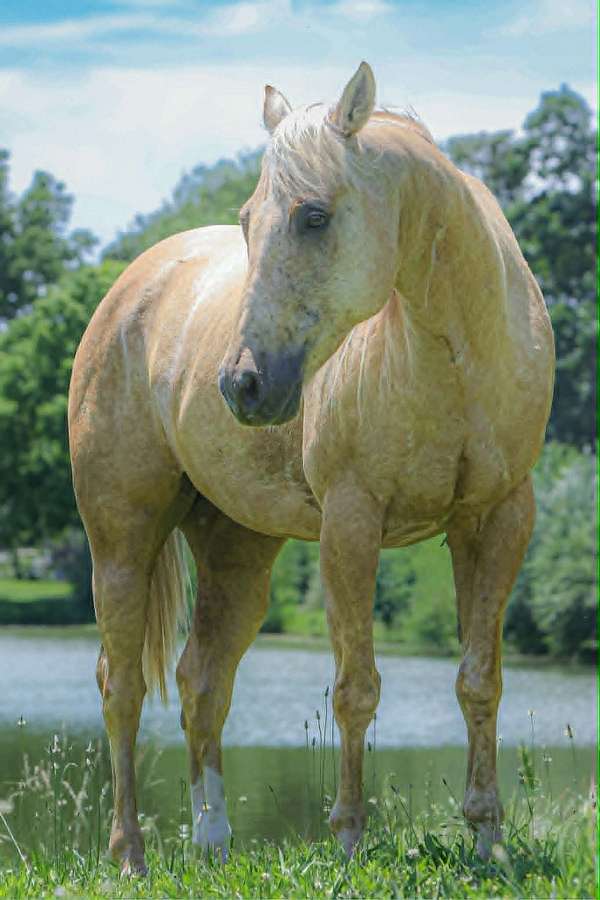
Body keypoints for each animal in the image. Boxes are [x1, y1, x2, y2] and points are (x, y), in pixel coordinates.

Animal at [68, 61, 554, 874]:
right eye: (246, 219)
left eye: (315, 216)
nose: (241, 384)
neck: (453, 355)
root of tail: (132, 286)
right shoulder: (351, 524)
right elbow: (355, 688)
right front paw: (351, 837)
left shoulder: (498, 520)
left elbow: (479, 680)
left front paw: (488, 839)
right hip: (122, 542)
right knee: (123, 686)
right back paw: (129, 853)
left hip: (237, 550)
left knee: (202, 679)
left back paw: (213, 843)